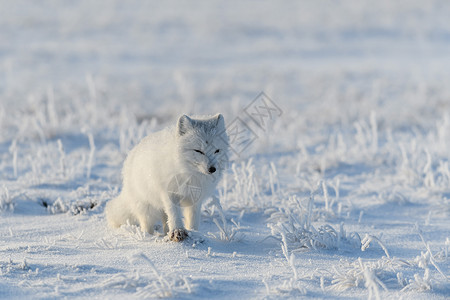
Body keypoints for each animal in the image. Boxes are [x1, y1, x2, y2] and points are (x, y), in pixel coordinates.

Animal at [106, 113, 229, 243]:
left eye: (217, 150)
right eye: (198, 151)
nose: (212, 169)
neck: (190, 174)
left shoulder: (196, 199)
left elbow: (193, 219)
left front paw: (194, 233)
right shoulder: (169, 193)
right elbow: (174, 214)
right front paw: (177, 231)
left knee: (165, 218)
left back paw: (165, 232)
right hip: (146, 207)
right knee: (146, 223)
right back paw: (147, 236)